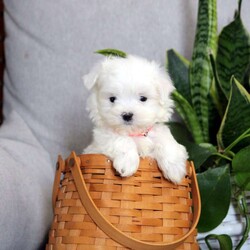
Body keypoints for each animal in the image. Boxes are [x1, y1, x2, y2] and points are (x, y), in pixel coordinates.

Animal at [83, 53, 188, 183]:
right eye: (112, 99)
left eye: (143, 98)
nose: (127, 115)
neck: (134, 133)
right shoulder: (103, 139)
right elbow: (121, 140)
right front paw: (127, 163)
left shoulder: (158, 133)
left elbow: (166, 141)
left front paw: (175, 169)